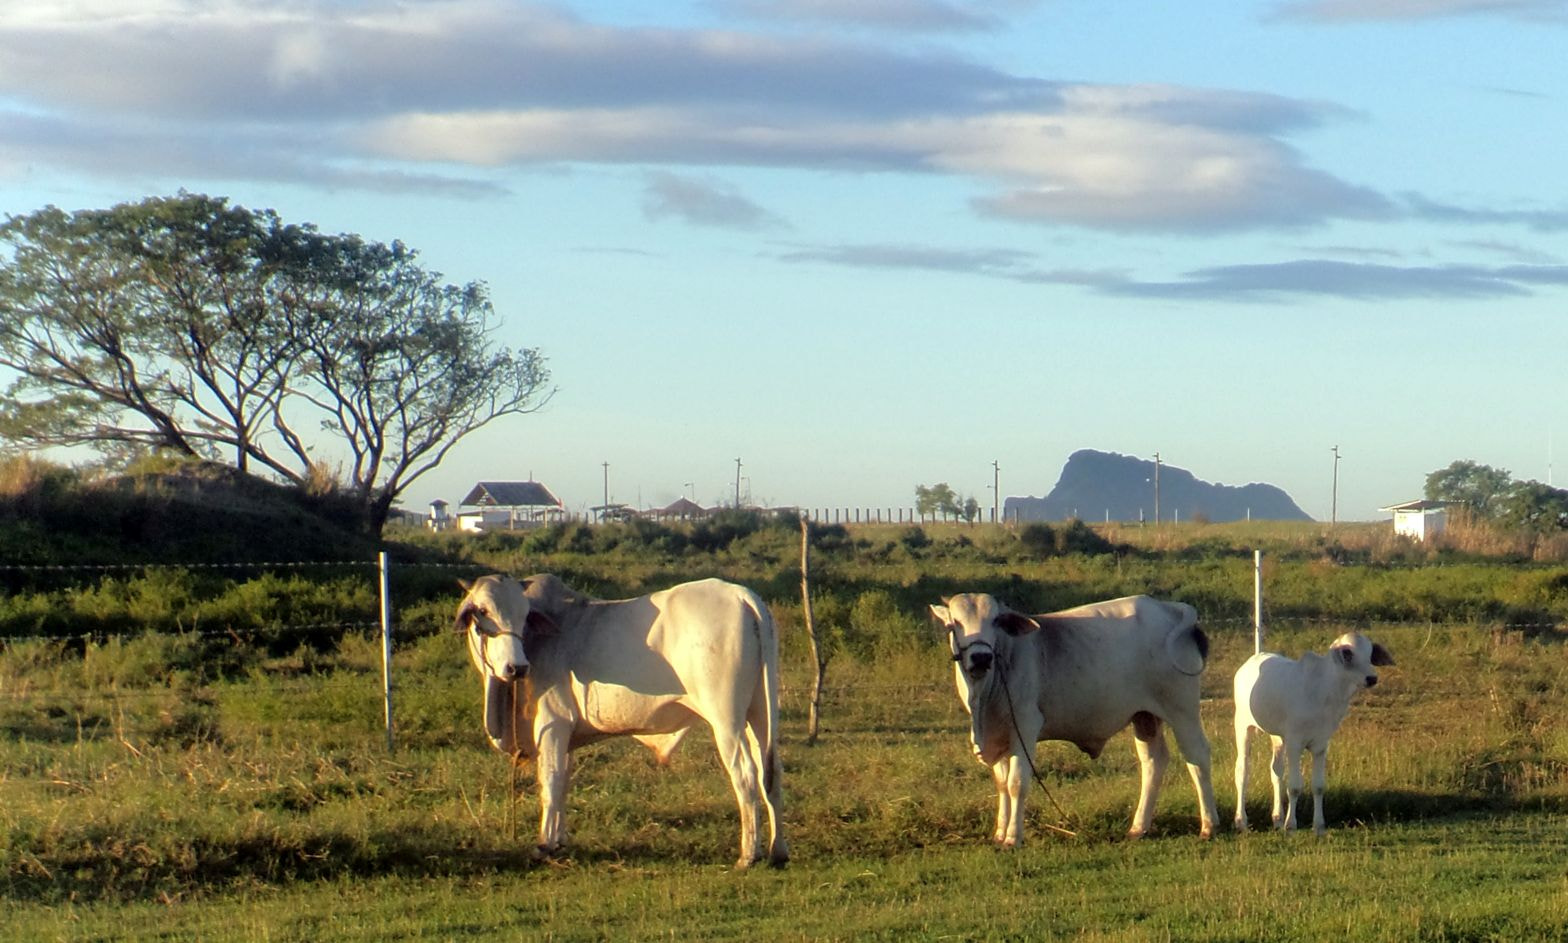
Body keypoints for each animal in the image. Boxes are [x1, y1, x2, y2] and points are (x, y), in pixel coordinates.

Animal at [457, 571, 790, 866]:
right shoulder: (567, 739)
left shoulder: (553, 726)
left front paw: (544, 845)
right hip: (760, 715)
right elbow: (563, 782)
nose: (517, 667)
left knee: (745, 775)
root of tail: (743, 597)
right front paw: (560, 841)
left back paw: (748, 855)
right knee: (770, 774)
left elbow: (550, 782)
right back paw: (778, 852)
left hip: (726, 721)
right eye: (483, 611)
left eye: (525, 615)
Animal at [921, 589, 1216, 847]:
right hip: (1144, 717)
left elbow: (1017, 783)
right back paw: (1138, 827)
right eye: (954, 623)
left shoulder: (1024, 727)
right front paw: (999, 833)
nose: (981, 657)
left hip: (1182, 710)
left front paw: (1013, 838)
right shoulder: (999, 735)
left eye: (995, 621)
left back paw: (1209, 825)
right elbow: (1002, 784)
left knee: (1197, 757)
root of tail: (1169, 607)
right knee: (1153, 762)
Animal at [1229, 633, 1392, 828]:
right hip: (1243, 727)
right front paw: (1291, 825)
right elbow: (1294, 787)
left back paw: (1277, 818)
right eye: (1348, 653)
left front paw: (1318, 825)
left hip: (1278, 737)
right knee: (1242, 771)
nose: (1372, 678)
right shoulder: (1295, 744)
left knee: (1276, 771)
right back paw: (1241, 821)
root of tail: (1255, 657)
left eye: (1370, 653)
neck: (1325, 693)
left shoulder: (1321, 745)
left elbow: (1318, 786)